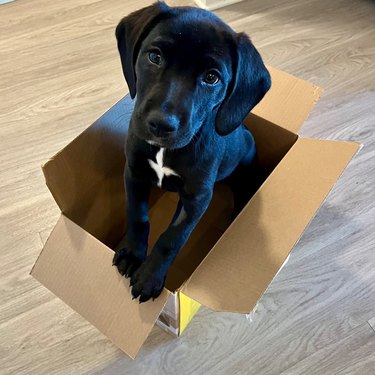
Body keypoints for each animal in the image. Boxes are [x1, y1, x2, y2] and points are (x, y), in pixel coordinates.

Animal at [111, 2, 270, 302]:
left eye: (212, 78)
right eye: (155, 56)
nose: (161, 124)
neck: (164, 151)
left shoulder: (197, 198)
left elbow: (172, 238)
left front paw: (150, 277)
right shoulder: (133, 171)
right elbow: (137, 215)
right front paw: (133, 254)